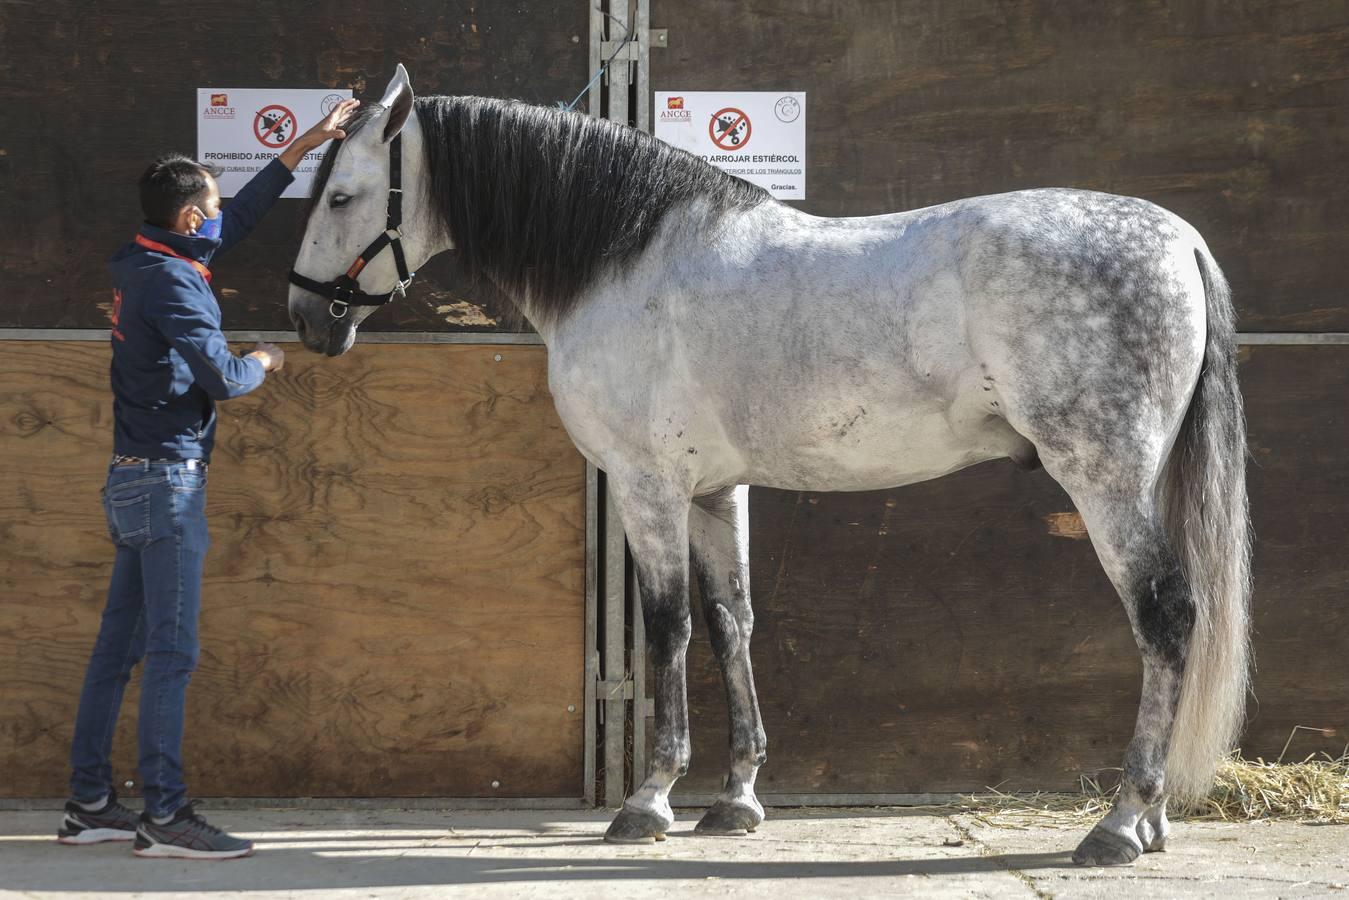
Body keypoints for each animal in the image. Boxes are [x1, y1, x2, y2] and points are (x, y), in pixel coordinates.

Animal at [287, 66, 1251, 868]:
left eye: (340, 194)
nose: (306, 318)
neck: (626, 257)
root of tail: (1176, 238)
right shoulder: (716, 490)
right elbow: (730, 622)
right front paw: (736, 800)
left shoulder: (647, 487)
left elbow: (669, 627)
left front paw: (648, 802)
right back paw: (1152, 822)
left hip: (1102, 479)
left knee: (1165, 615)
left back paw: (1119, 823)